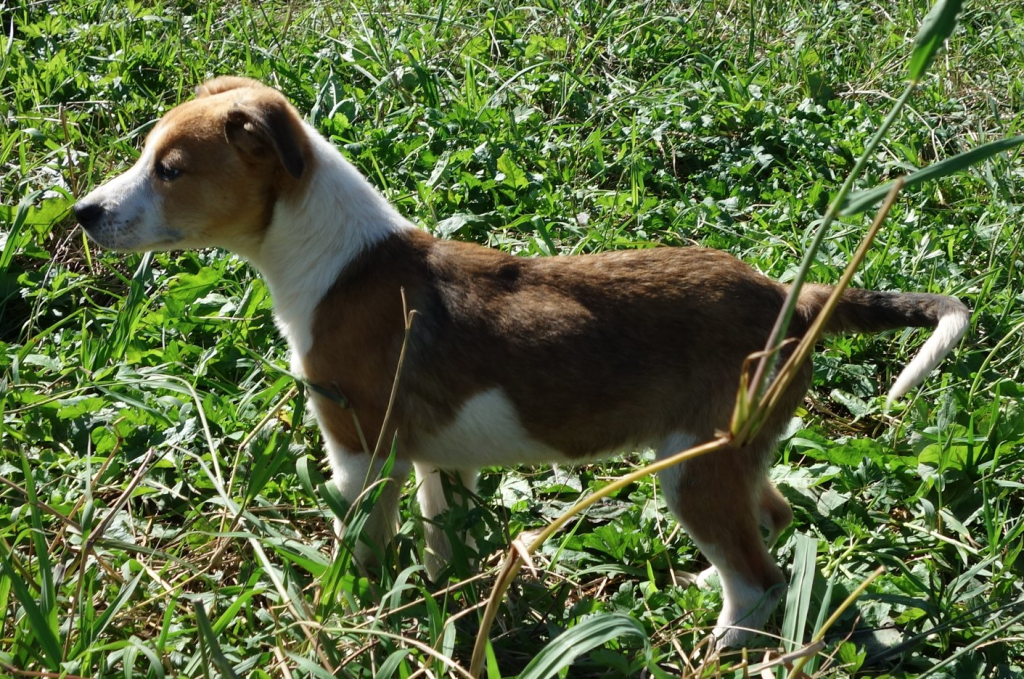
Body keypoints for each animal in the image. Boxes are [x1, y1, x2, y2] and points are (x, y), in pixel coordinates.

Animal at [74, 77, 969, 648]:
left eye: (171, 170)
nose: (82, 212)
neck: (337, 258)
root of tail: (791, 294)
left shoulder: (362, 452)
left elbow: (363, 550)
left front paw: (351, 615)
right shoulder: (437, 460)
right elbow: (443, 542)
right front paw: (440, 603)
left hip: (693, 466)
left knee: (757, 578)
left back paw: (719, 642)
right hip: (730, 454)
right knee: (773, 529)